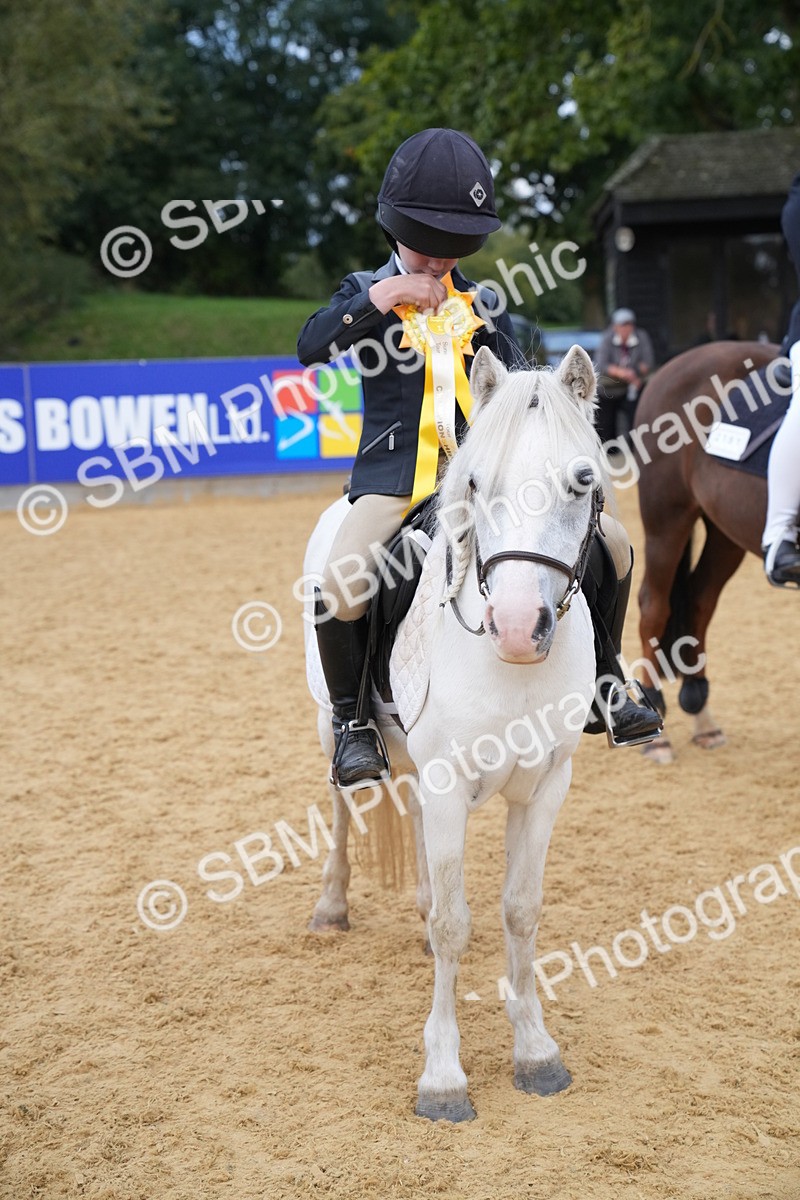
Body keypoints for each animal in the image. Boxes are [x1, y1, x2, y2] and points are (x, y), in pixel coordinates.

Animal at [302, 344, 607, 1121]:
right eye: (476, 483)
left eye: (582, 481)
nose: (519, 629)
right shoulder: (448, 784)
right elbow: (454, 925)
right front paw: (442, 1076)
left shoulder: (546, 786)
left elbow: (520, 912)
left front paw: (535, 1051)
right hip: (328, 723)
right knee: (341, 802)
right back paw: (331, 906)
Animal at [630, 339, 783, 763]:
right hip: (667, 520)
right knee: (654, 606)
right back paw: (657, 729)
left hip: (726, 532)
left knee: (700, 598)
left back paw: (703, 718)